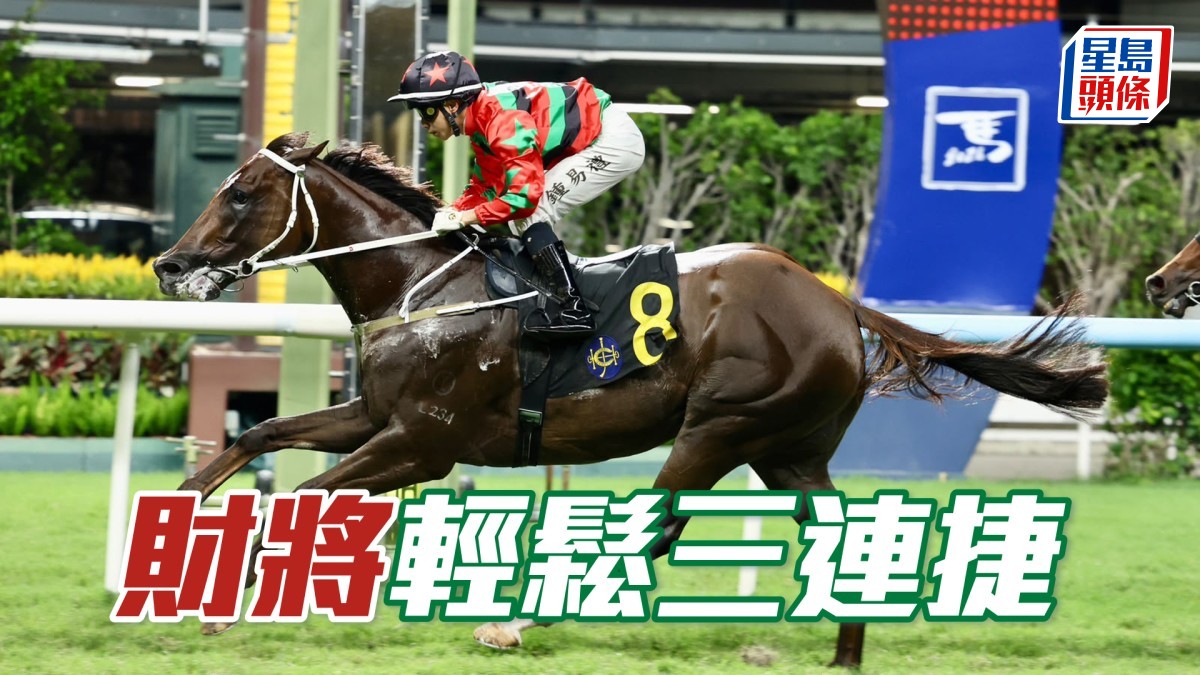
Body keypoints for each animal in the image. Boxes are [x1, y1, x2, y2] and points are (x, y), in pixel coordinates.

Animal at [152, 132, 1108, 667]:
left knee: (655, 524)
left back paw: (517, 623)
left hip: (722, 427)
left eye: (241, 192)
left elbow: (305, 501)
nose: (168, 264)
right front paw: (167, 529)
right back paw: (844, 658)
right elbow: (265, 431)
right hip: (787, 451)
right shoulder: (375, 418)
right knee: (841, 540)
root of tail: (840, 303)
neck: (424, 285)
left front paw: (220, 599)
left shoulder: (423, 441)